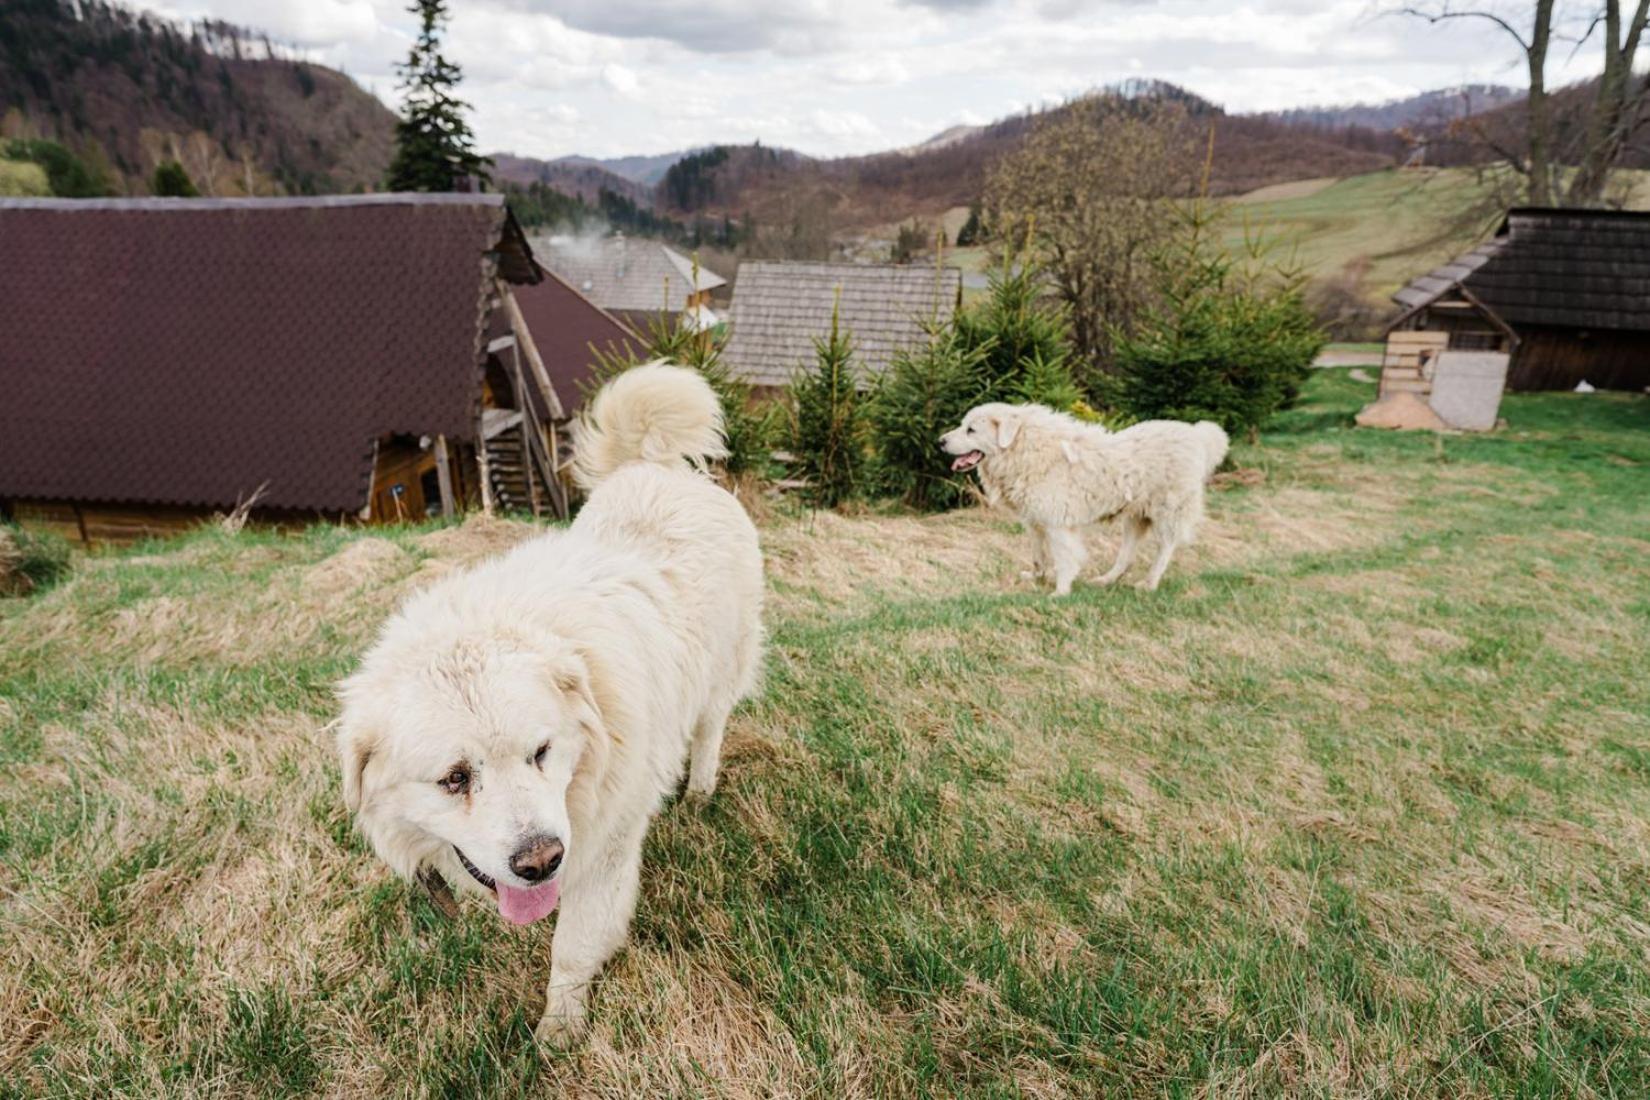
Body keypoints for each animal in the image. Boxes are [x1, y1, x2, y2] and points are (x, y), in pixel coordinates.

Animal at [339, 366, 772, 1048]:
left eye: (541, 753)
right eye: (454, 778)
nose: (541, 862)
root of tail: (658, 467)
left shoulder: (606, 852)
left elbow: (573, 947)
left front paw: (559, 1032)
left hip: (723, 668)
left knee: (709, 729)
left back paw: (700, 788)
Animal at [943, 402, 1227, 593]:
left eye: (970, 430)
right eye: (963, 426)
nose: (940, 441)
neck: (1023, 449)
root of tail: (1195, 434)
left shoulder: (1058, 524)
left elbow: (1064, 559)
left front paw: (1060, 592)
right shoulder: (1035, 522)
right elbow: (1038, 556)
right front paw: (1037, 578)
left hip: (1168, 512)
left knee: (1165, 548)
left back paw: (1149, 583)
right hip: (1135, 517)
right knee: (1126, 556)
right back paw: (1105, 580)